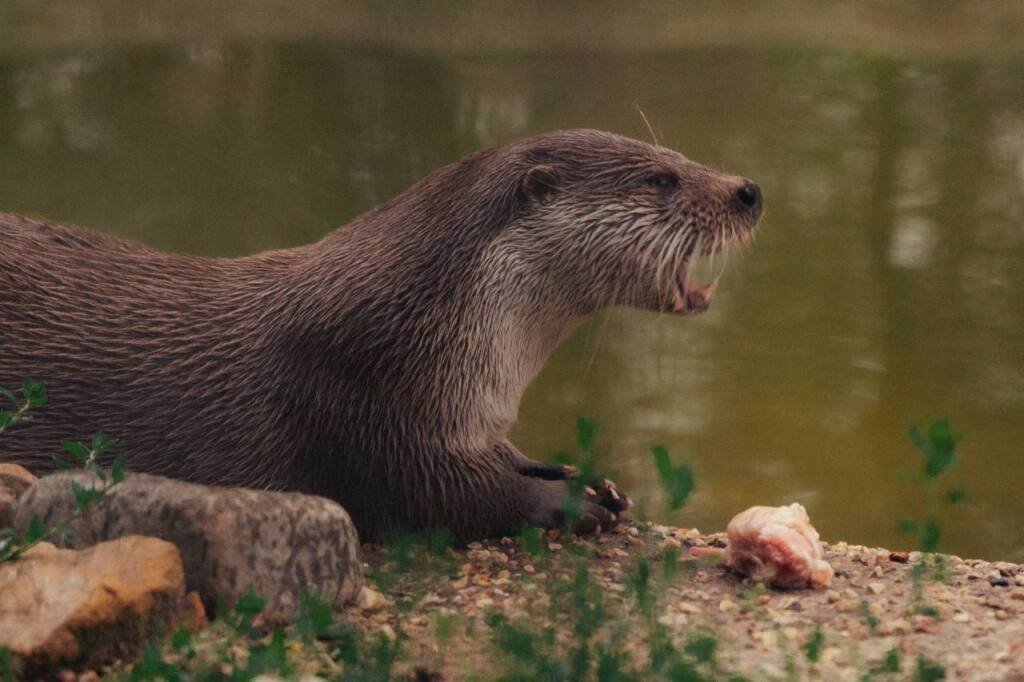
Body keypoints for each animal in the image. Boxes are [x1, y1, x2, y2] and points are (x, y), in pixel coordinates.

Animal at [0, 130, 761, 540]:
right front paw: (568, 503)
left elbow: (505, 459)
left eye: (678, 155)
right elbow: (441, 492)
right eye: (660, 179)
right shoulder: (359, 395)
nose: (749, 190)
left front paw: (584, 476)